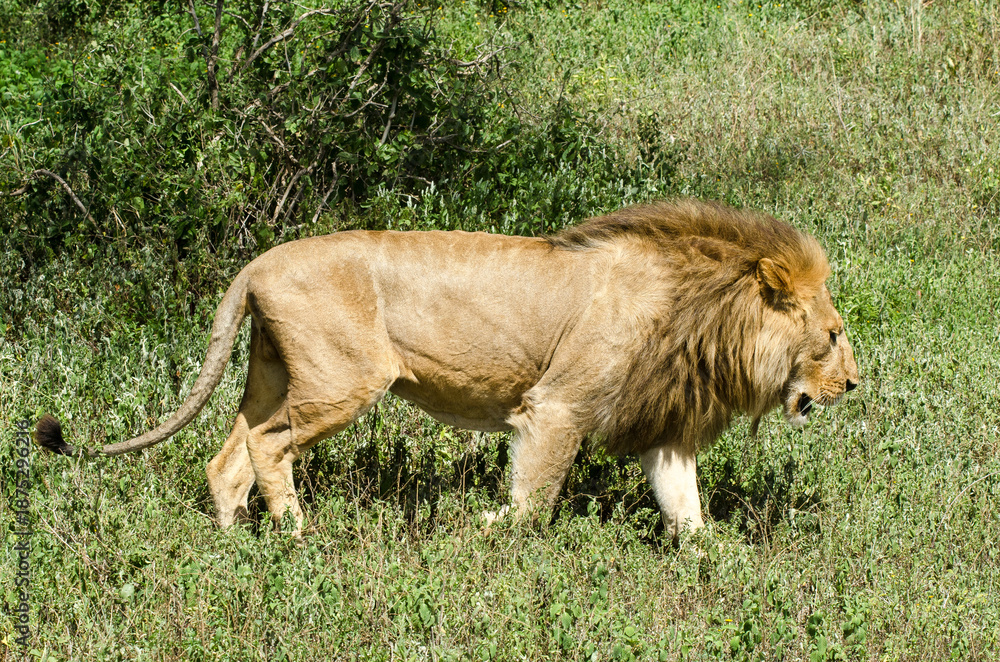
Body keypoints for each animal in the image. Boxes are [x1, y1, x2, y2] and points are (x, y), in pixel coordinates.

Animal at [36, 199, 858, 540]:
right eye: (832, 335)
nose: (855, 385)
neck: (705, 315)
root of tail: (255, 263)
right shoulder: (555, 407)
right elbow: (533, 500)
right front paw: (487, 527)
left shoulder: (664, 428)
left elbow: (686, 510)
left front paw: (721, 565)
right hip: (345, 380)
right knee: (269, 447)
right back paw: (297, 533)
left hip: (271, 375)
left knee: (227, 453)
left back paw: (235, 539)